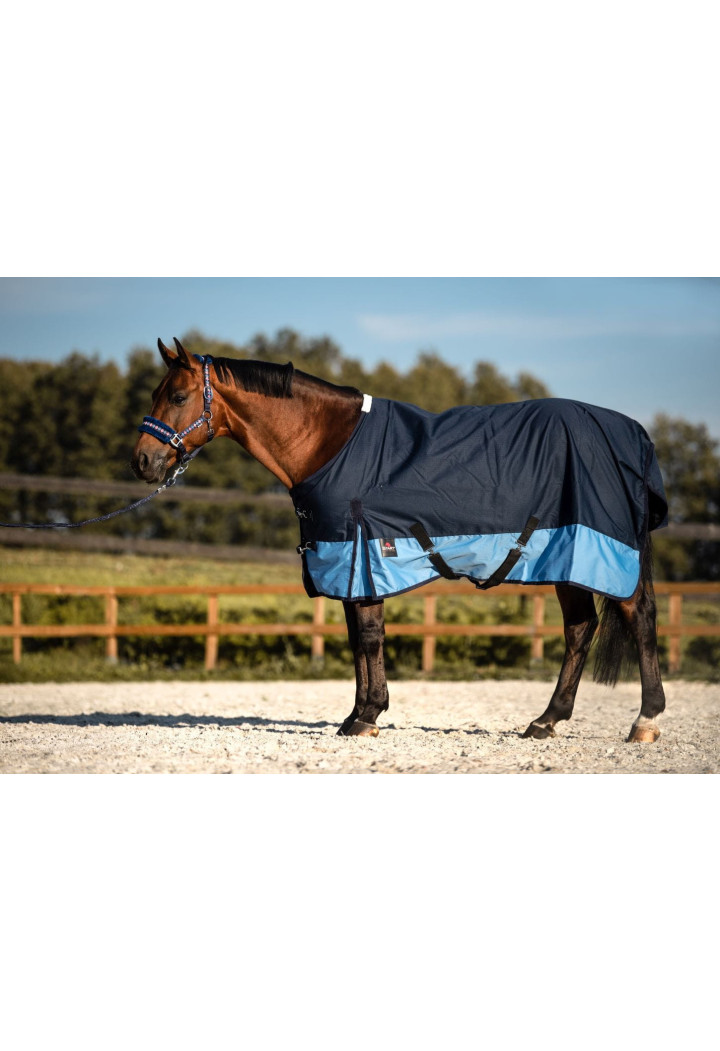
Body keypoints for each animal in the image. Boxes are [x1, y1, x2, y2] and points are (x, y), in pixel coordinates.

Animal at [131, 337, 669, 744]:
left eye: (176, 397)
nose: (141, 462)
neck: (329, 443)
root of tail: (632, 434)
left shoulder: (359, 553)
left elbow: (368, 637)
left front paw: (365, 717)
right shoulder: (352, 561)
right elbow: (360, 638)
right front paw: (361, 713)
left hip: (597, 554)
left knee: (637, 618)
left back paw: (644, 721)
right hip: (566, 562)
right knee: (580, 629)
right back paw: (546, 720)